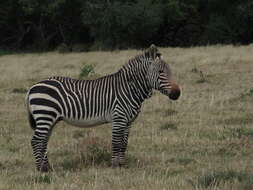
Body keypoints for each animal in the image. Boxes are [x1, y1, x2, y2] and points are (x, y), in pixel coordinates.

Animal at [25, 45, 181, 172]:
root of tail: (32, 88)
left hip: (50, 119)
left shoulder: (128, 121)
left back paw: (48, 167)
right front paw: (115, 166)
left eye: (170, 71)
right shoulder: (118, 118)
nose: (177, 93)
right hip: (45, 115)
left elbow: (124, 143)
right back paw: (41, 170)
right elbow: (116, 142)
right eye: (160, 72)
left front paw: (123, 165)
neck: (129, 88)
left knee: (43, 141)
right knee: (36, 141)